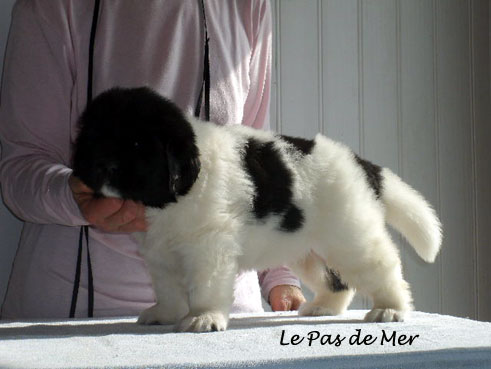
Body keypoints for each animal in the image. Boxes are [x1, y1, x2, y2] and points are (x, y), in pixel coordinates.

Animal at [72, 87, 442, 332]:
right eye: (93, 139)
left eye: (136, 144)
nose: (102, 166)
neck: (172, 195)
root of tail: (361, 164)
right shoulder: (161, 252)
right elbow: (167, 287)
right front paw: (165, 313)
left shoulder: (209, 246)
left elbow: (205, 285)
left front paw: (204, 317)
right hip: (308, 248)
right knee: (336, 281)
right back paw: (324, 306)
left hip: (350, 236)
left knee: (382, 266)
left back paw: (390, 309)